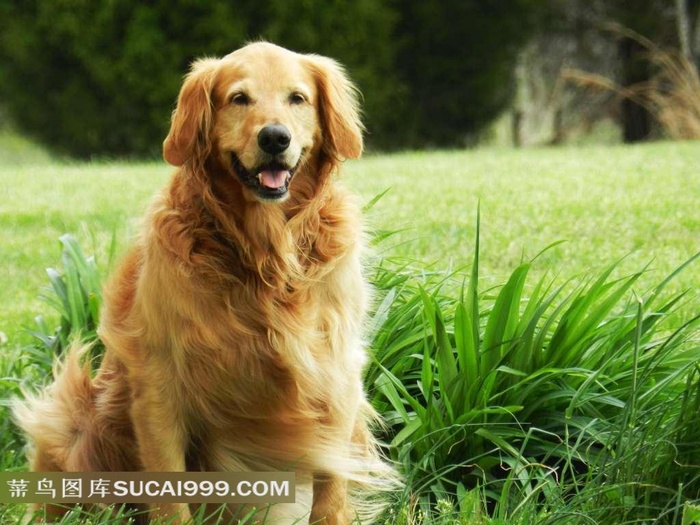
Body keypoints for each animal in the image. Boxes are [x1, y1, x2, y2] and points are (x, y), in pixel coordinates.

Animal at [15, 42, 394, 524]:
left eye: (297, 98)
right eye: (239, 98)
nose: (275, 138)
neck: (264, 255)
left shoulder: (336, 373)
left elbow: (331, 492)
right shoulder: (159, 385)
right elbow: (170, 495)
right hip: (75, 418)